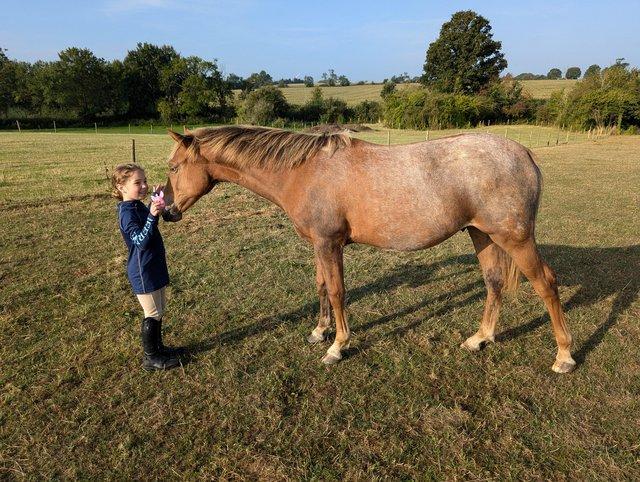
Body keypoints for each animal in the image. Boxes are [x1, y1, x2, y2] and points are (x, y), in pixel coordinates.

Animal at [160, 125, 576, 372]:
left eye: (175, 167)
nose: (167, 211)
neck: (304, 171)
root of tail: (524, 154)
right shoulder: (320, 245)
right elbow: (321, 287)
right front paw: (320, 331)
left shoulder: (329, 243)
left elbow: (338, 292)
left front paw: (337, 346)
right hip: (482, 235)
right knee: (493, 282)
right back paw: (481, 338)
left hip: (515, 238)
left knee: (546, 284)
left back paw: (564, 355)